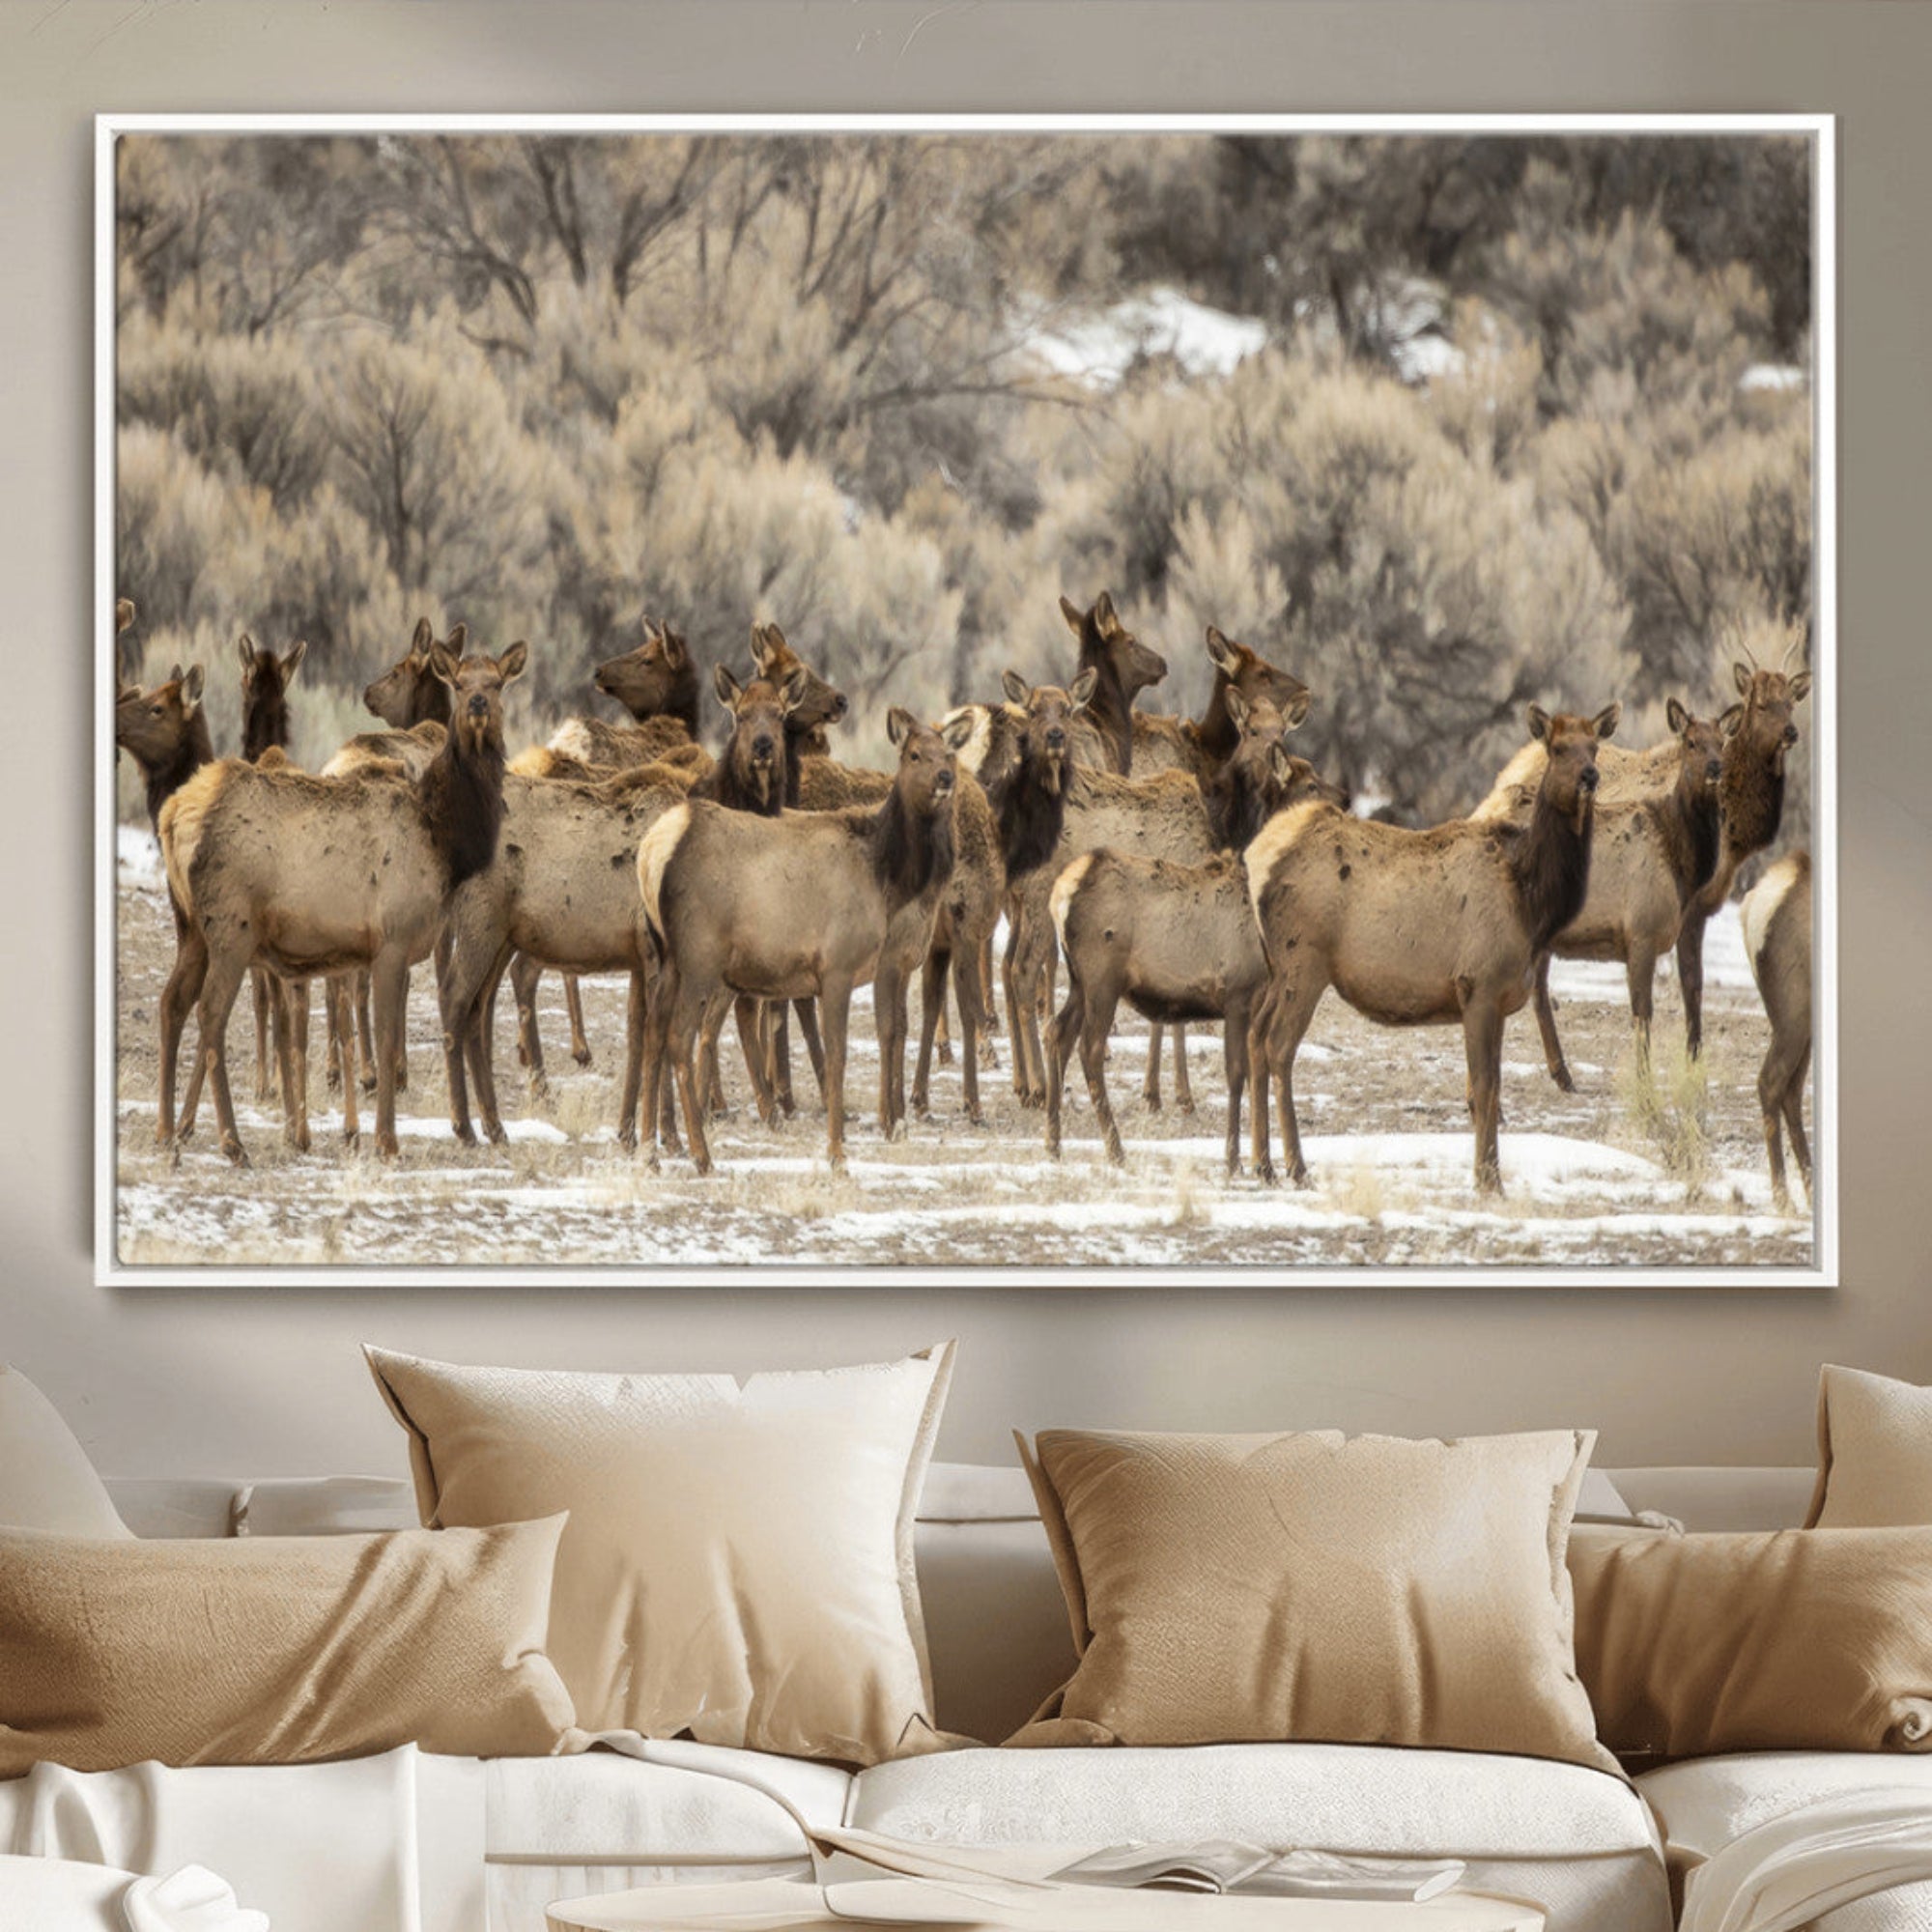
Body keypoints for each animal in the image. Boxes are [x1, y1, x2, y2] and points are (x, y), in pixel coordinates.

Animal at [157, 636, 528, 1165]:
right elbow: (387, 1038)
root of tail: (171, 815)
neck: (444, 841)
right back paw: (231, 1141)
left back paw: (166, 1132)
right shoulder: (392, 940)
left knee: (171, 1004)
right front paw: (386, 1141)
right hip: (231, 928)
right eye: (459, 683)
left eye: (496, 683)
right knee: (210, 1014)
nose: (477, 704)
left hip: (190, 927)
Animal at [639, 709, 972, 1174]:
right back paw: (702, 1155)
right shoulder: (838, 965)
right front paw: (838, 1153)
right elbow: (839, 1054)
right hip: (699, 956)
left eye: (950, 753)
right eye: (913, 754)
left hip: (667, 955)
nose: (945, 777)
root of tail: (652, 850)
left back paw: (649, 1151)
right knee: (680, 1035)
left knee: (654, 1031)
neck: (885, 878)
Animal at [1045, 694, 1347, 1176]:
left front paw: (1258, 1160)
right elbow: (1236, 1074)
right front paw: (1236, 1160)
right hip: (1102, 977)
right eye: (1310, 783)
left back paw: (1053, 1142)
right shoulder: (1237, 992)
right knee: (1089, 1049)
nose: (1348, 799)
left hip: (1077, 978)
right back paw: (1116, 1148)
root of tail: (1062, 893)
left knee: (1056, 1032)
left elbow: (1254, 1070)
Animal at [1246, 702, 1618, 1195]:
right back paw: (1296, 1166)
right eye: (1557, 749)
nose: (1590, 776)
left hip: (1276, 968)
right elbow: (1484, 1087)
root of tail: (1256, 858)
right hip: (1302, 963)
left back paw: (1260, 1164)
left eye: (1594, 746)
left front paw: (1490, 1174)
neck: (1531, 901)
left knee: (1253, 1037)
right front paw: (1487, 1179)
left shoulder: (1500, 996)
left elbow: (1489, 1091)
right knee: (1278, 1046)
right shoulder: (1477, 983)